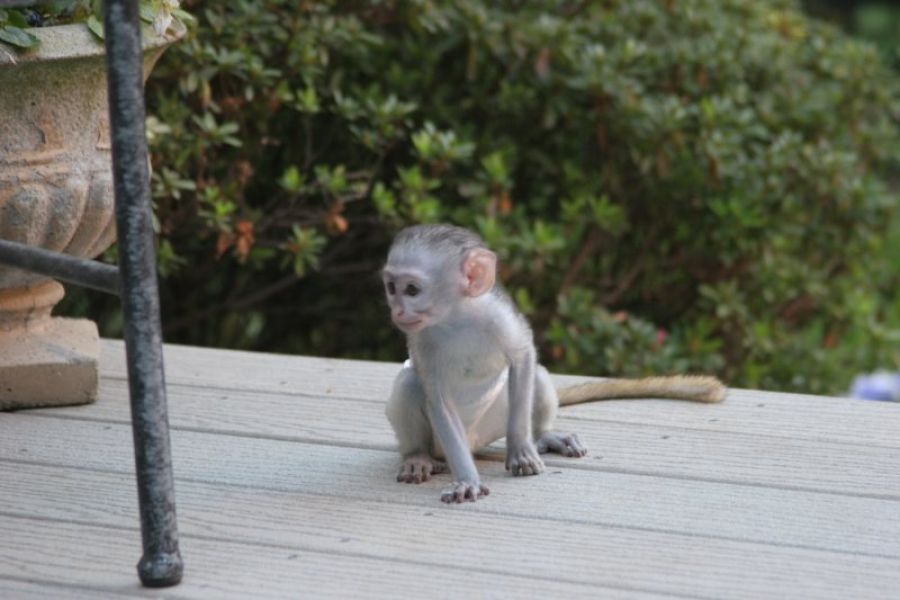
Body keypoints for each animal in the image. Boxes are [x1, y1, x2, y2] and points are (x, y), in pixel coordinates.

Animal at [383, 224, 725, 503]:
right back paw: (417, 456)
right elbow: (438, 398)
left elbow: (523, 357)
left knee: (536, 375)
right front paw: (467, 479)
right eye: (391, 288)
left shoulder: (497, 316)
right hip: (441, 442)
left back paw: (543, 435)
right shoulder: (421, 339)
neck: (456, 319)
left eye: (411, 290)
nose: (397, 311)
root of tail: (475, 441)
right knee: (411, 385)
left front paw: (521, 448)